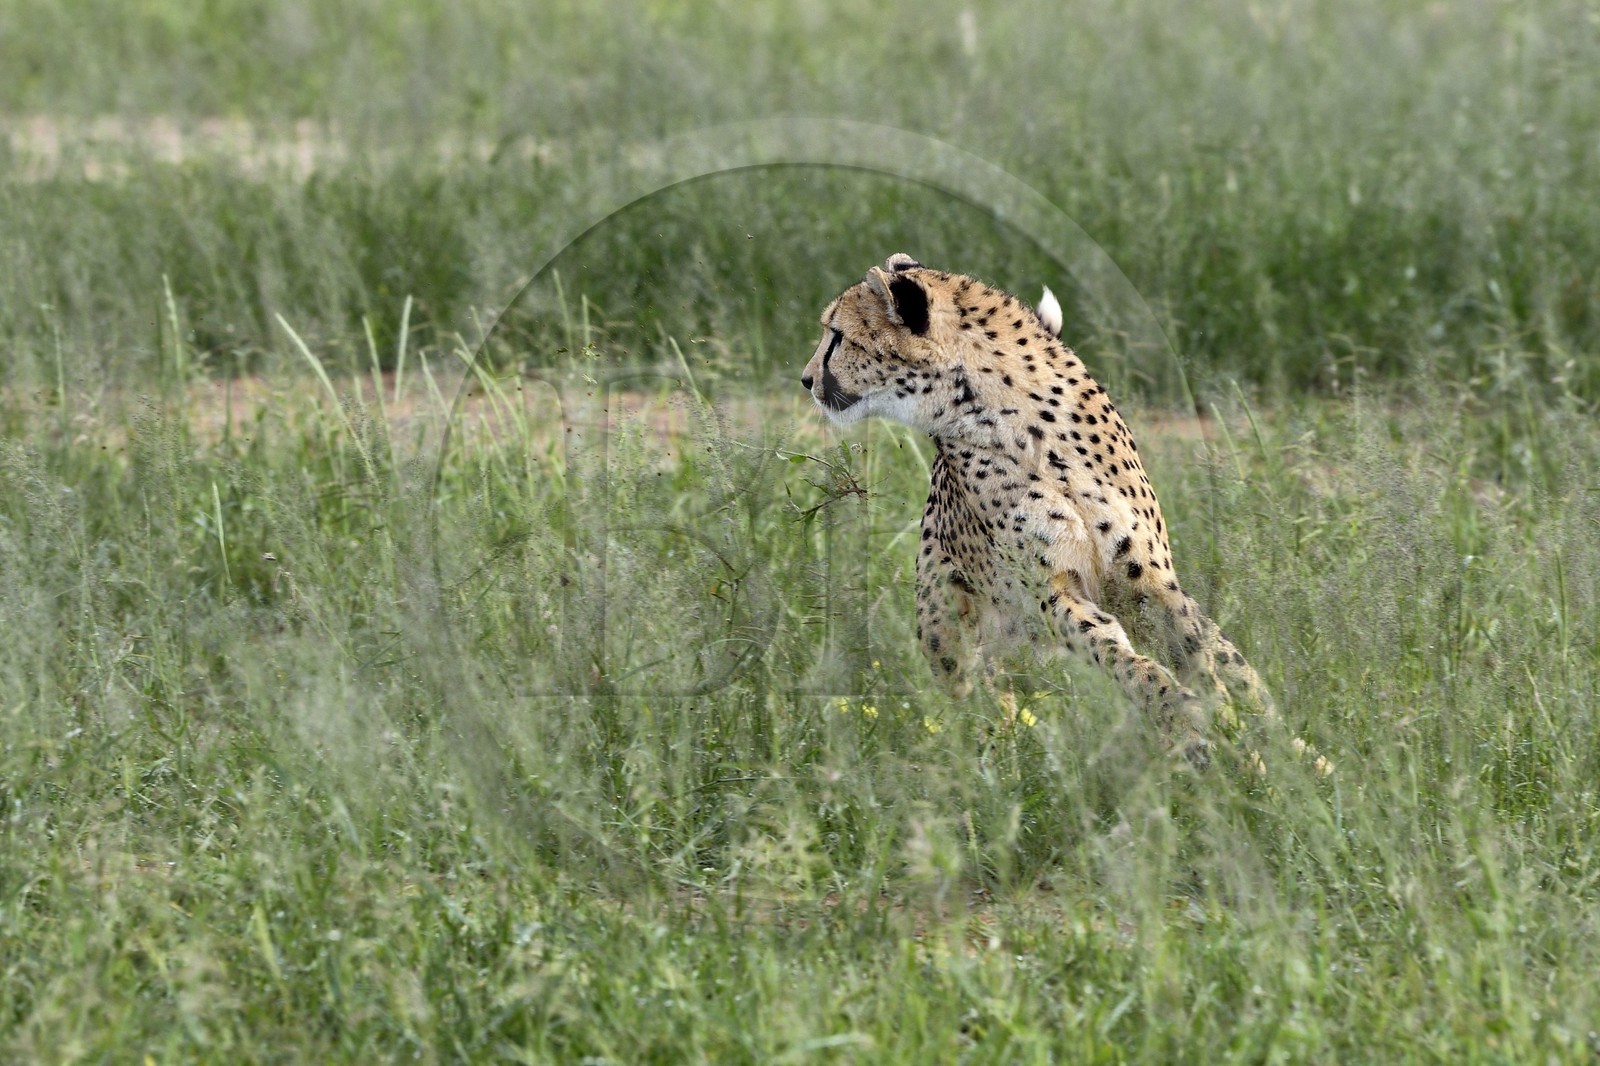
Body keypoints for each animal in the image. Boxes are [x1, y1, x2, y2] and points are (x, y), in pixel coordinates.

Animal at [802, 253, 1320, 772]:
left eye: (837, 335)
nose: (806, 379)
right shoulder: (1050, 591)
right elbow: (1119, 655)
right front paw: (1185, 717)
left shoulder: (1145, 578)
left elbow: (1199, 657)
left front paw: (1237, 739)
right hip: (949, 632)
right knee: (980, 698)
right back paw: (992, 764)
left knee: (1239, 670)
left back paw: (1304, 755)